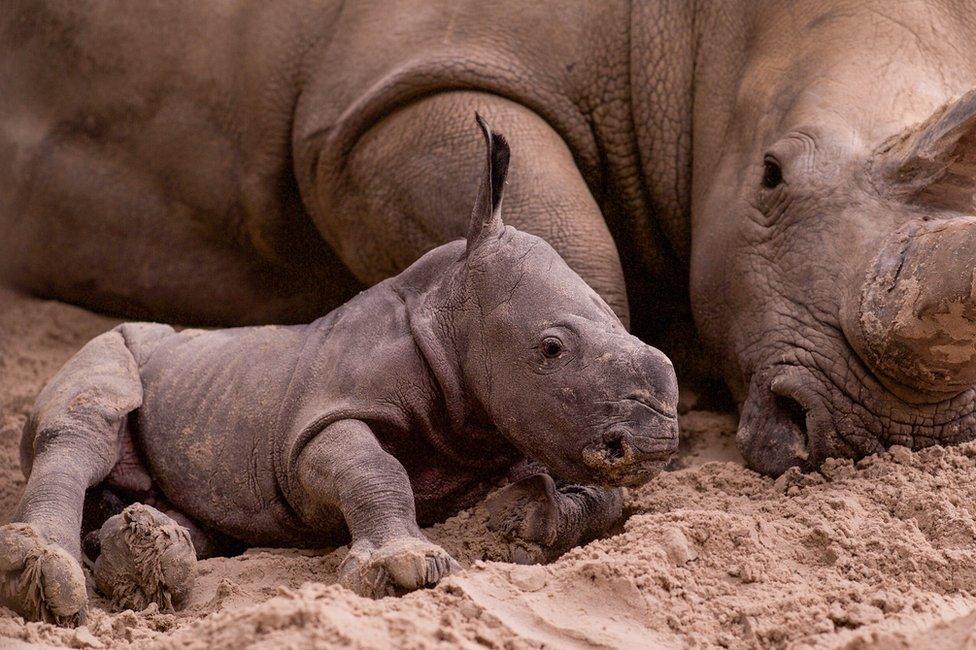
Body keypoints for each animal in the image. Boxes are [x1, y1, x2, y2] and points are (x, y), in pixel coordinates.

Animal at [1, 117, 680, 624]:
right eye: (551, 348)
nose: (657, 441)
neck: (452, 313)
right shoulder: (318, 424)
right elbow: (373, 469)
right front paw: (407, 571)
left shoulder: (529, 425)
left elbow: (602, 497)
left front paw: (521, 521)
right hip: (104, 344)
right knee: (86, 422)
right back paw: (46, 580)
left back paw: (142, 553)